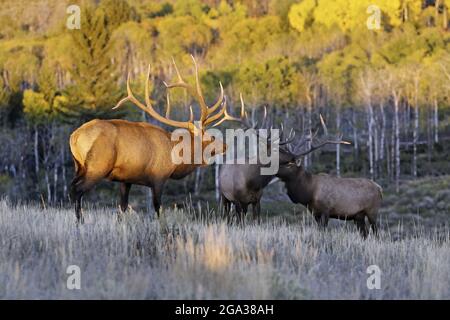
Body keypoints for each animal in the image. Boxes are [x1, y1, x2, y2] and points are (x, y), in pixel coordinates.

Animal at [70, 56, 232, 224]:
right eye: (211, 136)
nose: (225, 145)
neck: (177, 158)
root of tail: (74, 136)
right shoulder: (159, 177)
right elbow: (157, 207)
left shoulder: (126, 179)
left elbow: (122, 207)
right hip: (97, 167)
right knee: (76, 190)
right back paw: (80, 222)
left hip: (79, 166)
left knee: (71, 188)